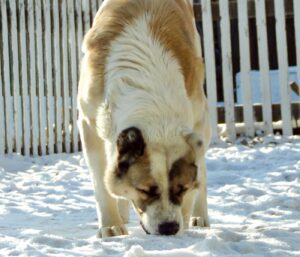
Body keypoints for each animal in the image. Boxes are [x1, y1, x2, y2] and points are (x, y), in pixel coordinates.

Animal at [77, 0, 211, 236]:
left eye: (181, 188)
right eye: (145, 190)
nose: (169, 228)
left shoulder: (197, 120)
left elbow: (198, 174)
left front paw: (186, 218)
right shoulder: (88, 124)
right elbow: (101, 182)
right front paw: (111, 226)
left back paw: (199, 216)